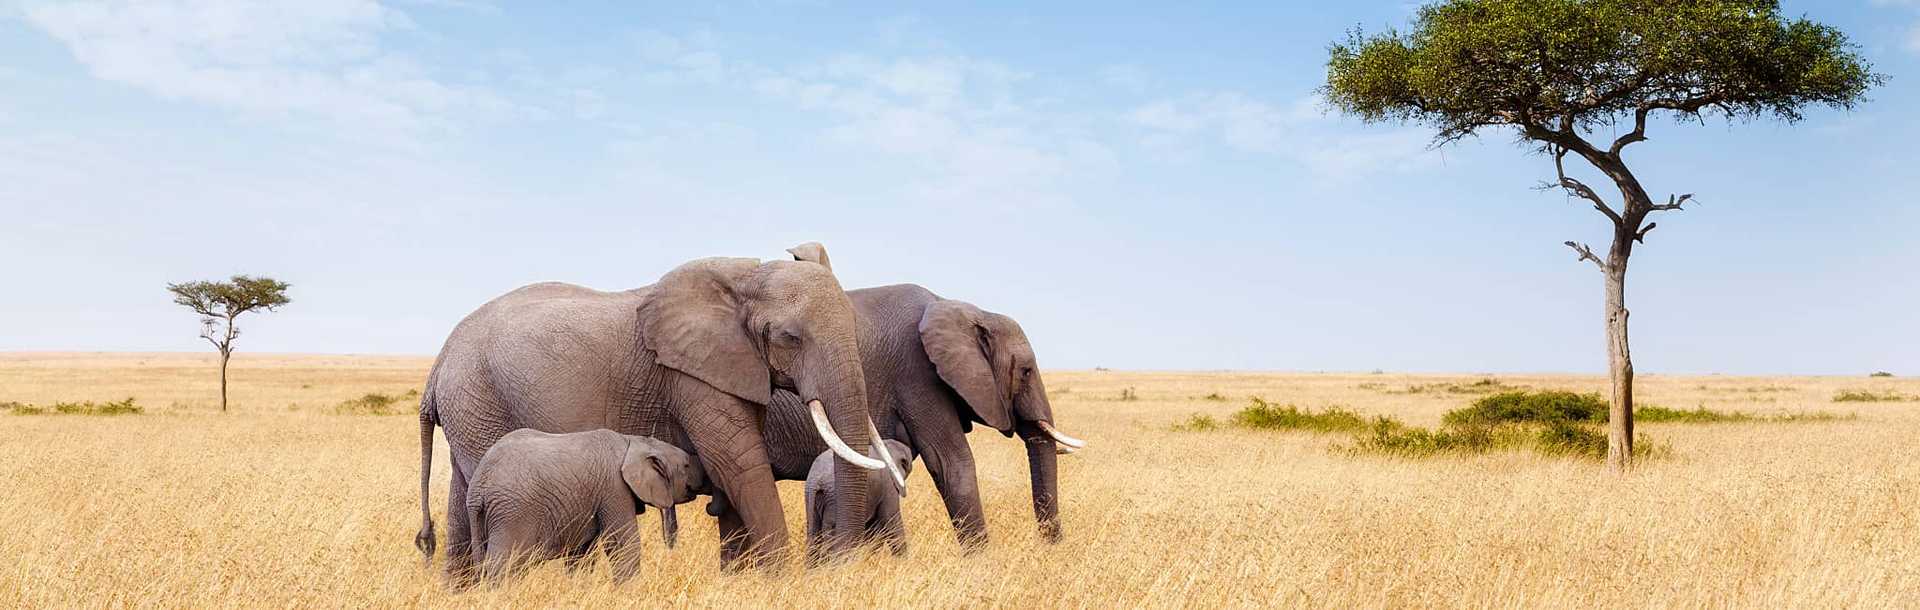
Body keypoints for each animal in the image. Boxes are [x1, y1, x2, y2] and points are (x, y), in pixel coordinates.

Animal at [464, 425, 706, 583]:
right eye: (686, 465)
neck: (634, 442)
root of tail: (478, 489)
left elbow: (582, 552)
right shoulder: (613, 489)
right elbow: (622, 543)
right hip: (512, 514)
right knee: (505, 565)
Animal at [768, 245, 1098, 544]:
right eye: (1026, 371)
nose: (1050, 546)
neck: (960, 308)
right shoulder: (916, 375)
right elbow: (951, 462)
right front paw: (980, 559)